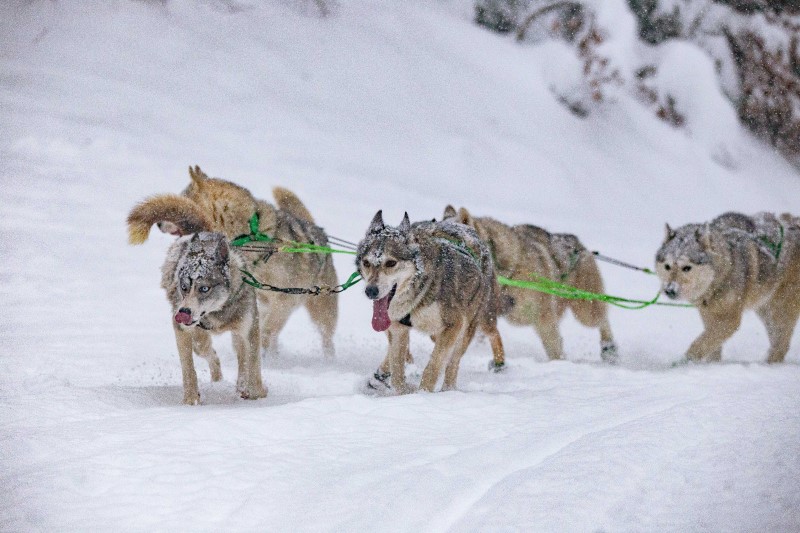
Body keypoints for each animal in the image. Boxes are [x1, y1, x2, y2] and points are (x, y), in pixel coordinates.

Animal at [127, 165, 338, 358]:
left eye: (183, 198)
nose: (159, 224)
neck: (249, 234)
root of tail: (319, 231)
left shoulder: (284, 299)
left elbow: (267, 329)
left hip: (323, 309)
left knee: (325, 336)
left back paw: (327, 359)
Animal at [358, 211, 504, 390]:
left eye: (391, 263)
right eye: (366, 263)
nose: (371, 291)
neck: (417, 295)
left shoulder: (454, 325)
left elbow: (433, 367)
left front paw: (423, 392)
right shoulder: (397, 329)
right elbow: (397, 375)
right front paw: (403, 389)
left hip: (467, 327)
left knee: (453, 363)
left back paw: (448, 390)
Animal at [444, 206, 620, 364]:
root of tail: (579, 244)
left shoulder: (544, 317)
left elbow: (554, 346)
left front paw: (559, 363)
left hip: (585, 310)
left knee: (601, 318)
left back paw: (609, 348)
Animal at [656, 211, 800, 362]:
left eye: (686, 268)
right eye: (667, 266)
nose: (670, 290)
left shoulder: (729, 319)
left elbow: (701, 344)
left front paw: (685, 362)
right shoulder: (709, 315)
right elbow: (712, 347)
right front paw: (710, 364)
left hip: (780, 309)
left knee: (782, 345)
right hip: (765, 309)